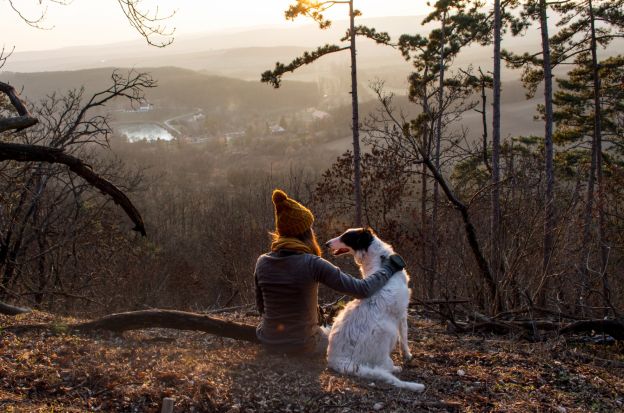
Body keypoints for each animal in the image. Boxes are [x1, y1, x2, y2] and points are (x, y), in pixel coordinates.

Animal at [326, 227, 424, 392]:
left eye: (346, 236)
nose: (326, 244)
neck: (381, 260)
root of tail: (338, 360)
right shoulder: (403, 313)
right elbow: (404, 339)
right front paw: (407, 355)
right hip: (388, 332)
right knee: (385, 367)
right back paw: (395, 368)